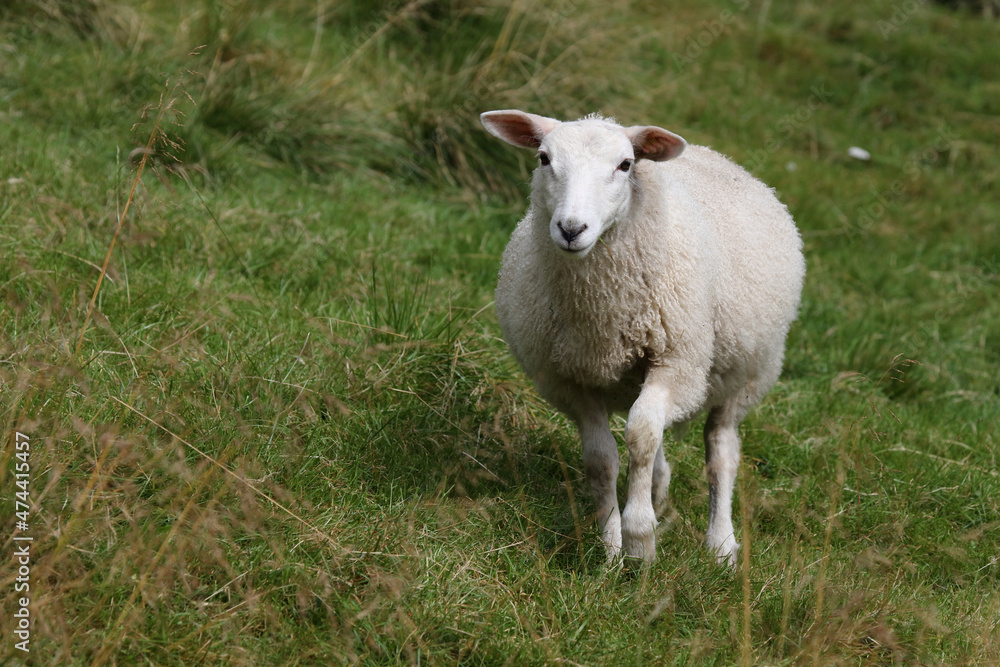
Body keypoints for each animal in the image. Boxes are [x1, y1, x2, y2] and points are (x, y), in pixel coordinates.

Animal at [479, 110, 805, 566]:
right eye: (544, 158)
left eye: (625, 165)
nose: (571, 229)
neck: (602, 309)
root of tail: (714, 154)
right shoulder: (570, 381)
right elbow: (602, 459)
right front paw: (611, 550)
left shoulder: (678, 362)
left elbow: (641, 435)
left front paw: (639, 540)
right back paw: (660, 495)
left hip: (748, 373)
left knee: (720, 451)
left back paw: (721, 544)